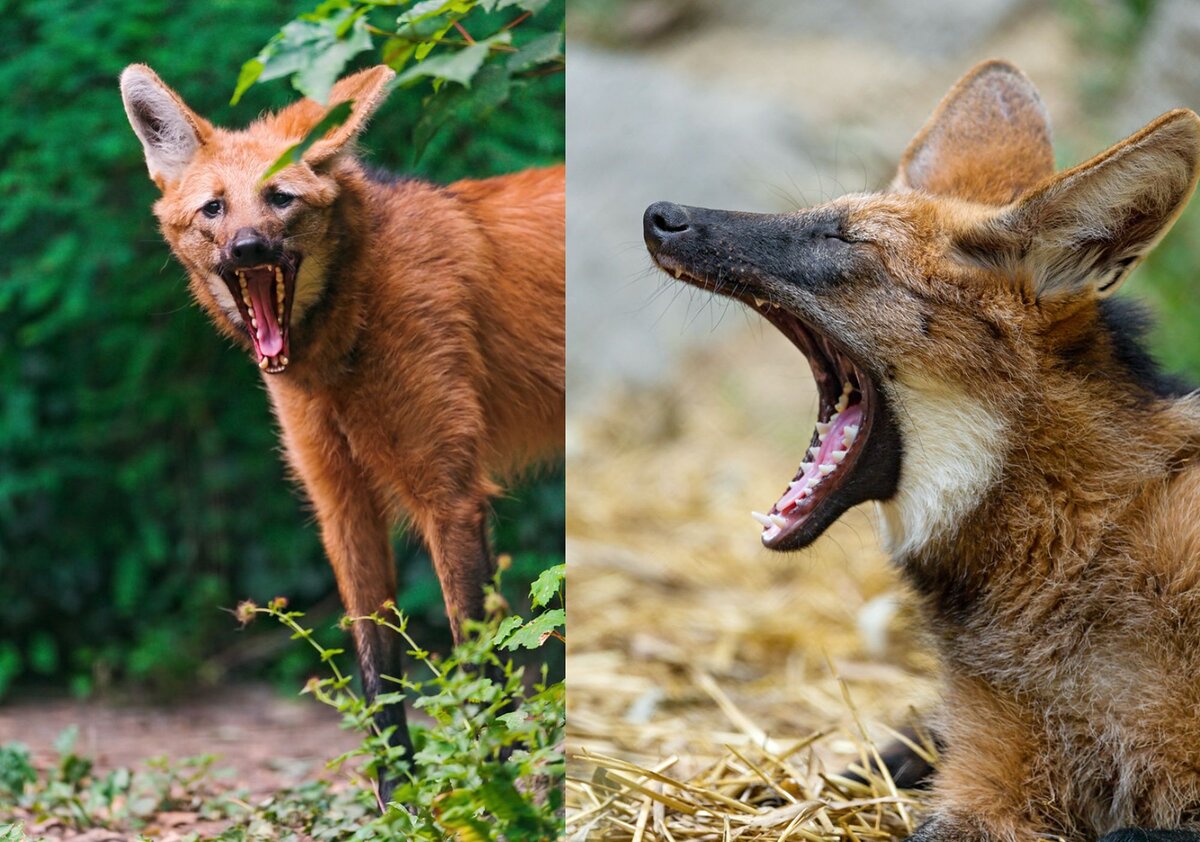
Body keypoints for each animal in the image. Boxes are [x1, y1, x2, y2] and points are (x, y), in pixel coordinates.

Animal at [121, 64, 566, 806]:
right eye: (214, 209)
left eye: (280, 198)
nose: (248, 247)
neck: (341, 341)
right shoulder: (343, 504)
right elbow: (376, 672)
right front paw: (399, 803)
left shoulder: (449, 495)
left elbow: (476, 662)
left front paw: (493, 799)